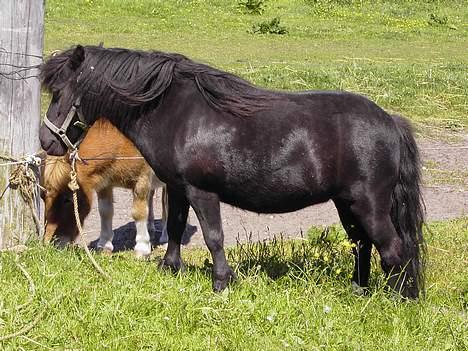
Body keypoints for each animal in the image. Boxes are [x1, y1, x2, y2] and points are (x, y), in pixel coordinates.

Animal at [41, 119, 167, 258]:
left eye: (67, 199)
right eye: (42, 197)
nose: (50, 244)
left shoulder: (142, 179)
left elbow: (138, 213)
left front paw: (142, 249)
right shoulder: (105, 183)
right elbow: (105, 211)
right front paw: (104, 246)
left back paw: (165, 239)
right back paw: (150, 226)